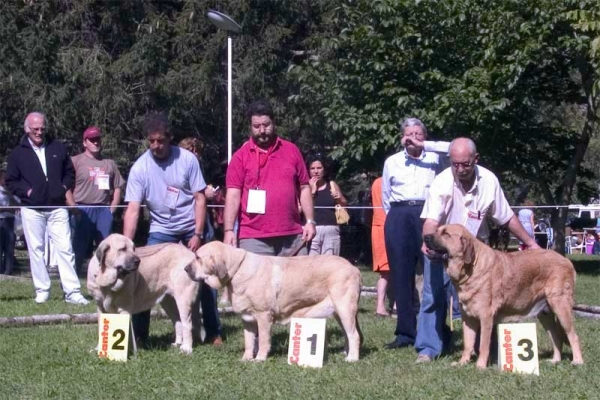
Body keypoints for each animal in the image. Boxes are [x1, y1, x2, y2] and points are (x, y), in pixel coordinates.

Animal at [184, 241, 360, 362]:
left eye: (198, 257)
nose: (185, 268)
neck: (237, 270)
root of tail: (354, 268)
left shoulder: (263, 316)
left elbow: (262, 340)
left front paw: (259, 359)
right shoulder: (247, 319)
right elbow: (249, 341)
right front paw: (246, 358)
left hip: (345, 308)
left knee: (354, 334)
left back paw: (352, 358)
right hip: (339, 312)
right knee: (348, 334)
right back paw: (346, 353)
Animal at [424, 223, 584, 368]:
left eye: (446, 234)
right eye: (437, 230)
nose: (425, 237)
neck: (471, 268)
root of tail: (567, 260)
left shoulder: (485, 316)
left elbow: (483, 344)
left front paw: (480, 366)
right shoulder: (468, 318)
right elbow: (468, 344)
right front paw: (462, 362)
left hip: (560, 306)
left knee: (573, 336)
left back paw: (577, 361)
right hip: (545, 314)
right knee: (556, 337)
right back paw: (555, 360)